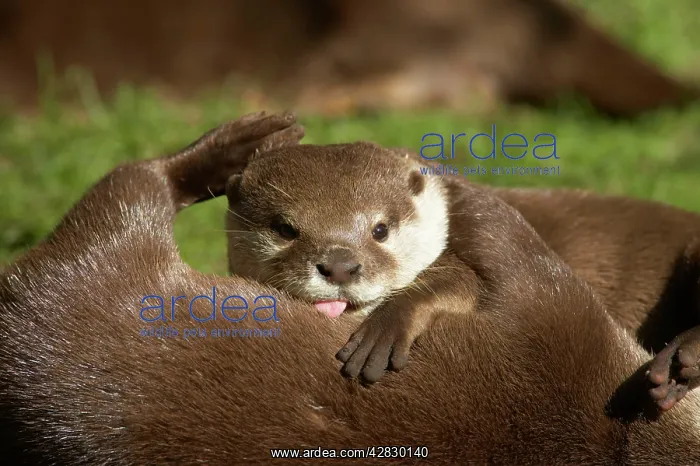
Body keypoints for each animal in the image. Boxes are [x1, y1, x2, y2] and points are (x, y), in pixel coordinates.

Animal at [2, 112, 700, 463]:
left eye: (381, 229)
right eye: (285, 228)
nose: (338, 264)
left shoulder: (551, 315)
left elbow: (464, 267)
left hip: (107, 244)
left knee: (135, 181)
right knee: (140, 179)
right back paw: (243, 141)